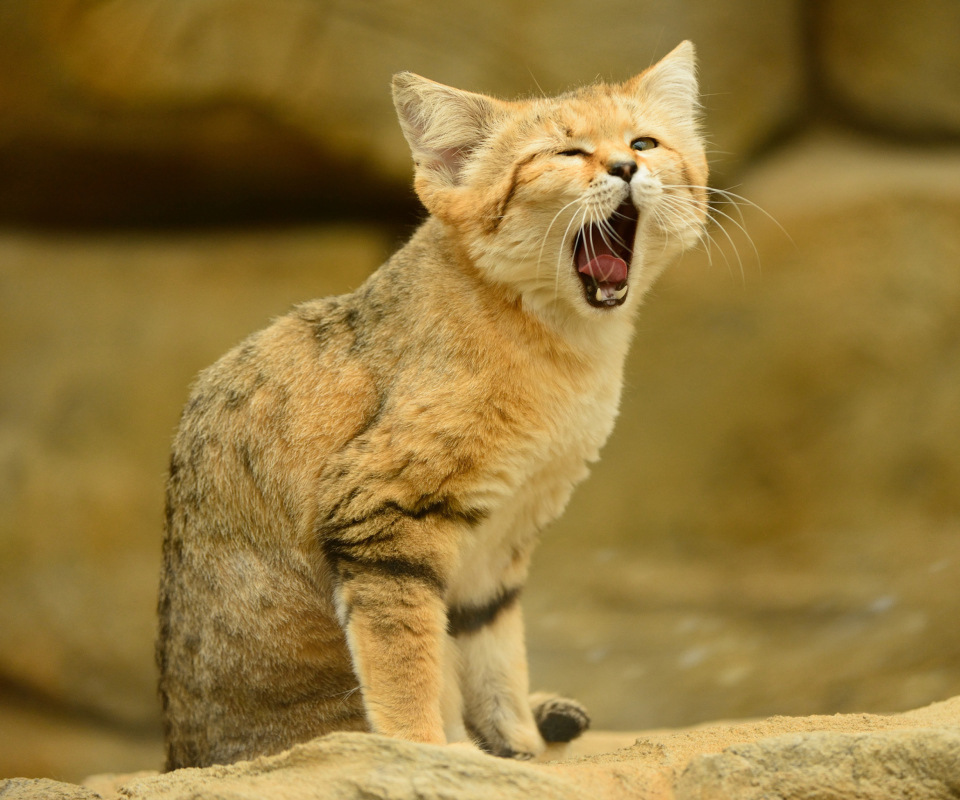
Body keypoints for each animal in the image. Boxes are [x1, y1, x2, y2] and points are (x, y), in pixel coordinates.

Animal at [158, 42, 708, 768]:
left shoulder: (500, 542)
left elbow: (495, 655)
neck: (557, 343)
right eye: (565, 153)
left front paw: (519, 748)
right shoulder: (382, 511)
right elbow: (409, 660)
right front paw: (426, 751)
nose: (626, 167)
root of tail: (179, 753)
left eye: (644, 142)